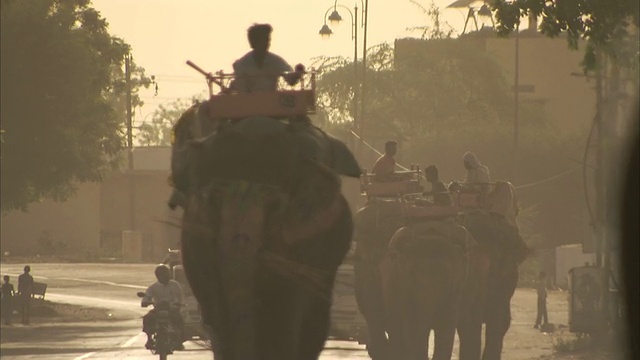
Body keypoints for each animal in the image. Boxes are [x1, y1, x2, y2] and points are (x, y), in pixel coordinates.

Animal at [172, 102, 362, 360]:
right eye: (214, 201)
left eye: (275, 207)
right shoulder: (198, 243)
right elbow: (218, 316)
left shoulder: (304, 242)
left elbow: (288, 313)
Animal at [378, 217, 478, 360]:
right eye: (411, 275)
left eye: (446, 279)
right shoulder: (403, 286)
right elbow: (411, 323)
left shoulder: (456, 289)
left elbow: (446, 327)